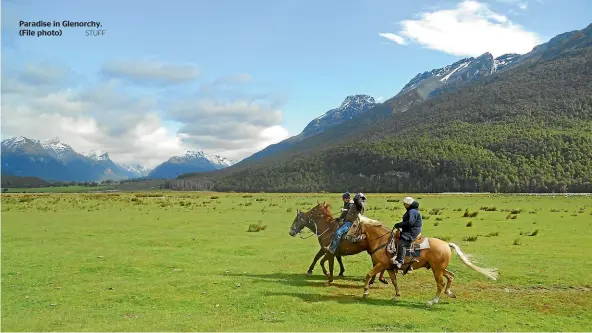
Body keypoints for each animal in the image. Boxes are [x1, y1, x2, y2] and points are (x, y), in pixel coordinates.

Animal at [358, 219, 498, 304]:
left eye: (355, 225)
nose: (353, 237)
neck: (382, 242)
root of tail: (446, 244)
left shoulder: (381, 265)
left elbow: (369, 274)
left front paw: (365, 292)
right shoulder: (389, 267)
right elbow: (394, 281)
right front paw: (396, 295)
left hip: (437, 270)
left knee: (441, 283)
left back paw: (433, 301)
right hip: (439, 268)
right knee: (450, 276)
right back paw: (449, 293)